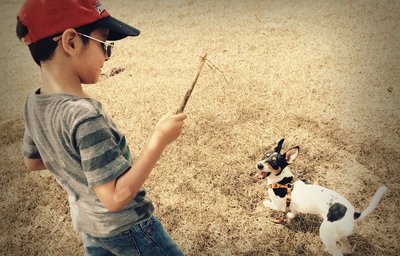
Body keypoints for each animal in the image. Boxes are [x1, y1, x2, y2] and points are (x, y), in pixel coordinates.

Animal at [256, 139, 388, 255]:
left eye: (274, 162)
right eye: (265, 156)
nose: (259, 165)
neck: (283, 181)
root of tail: (354, 215)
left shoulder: (279, 206)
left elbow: (269, 204)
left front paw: (265, 203)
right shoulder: (293, 206)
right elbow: (294, 211)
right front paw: (291, 216)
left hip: (325, 233)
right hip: (339, 235)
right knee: (347, 248)